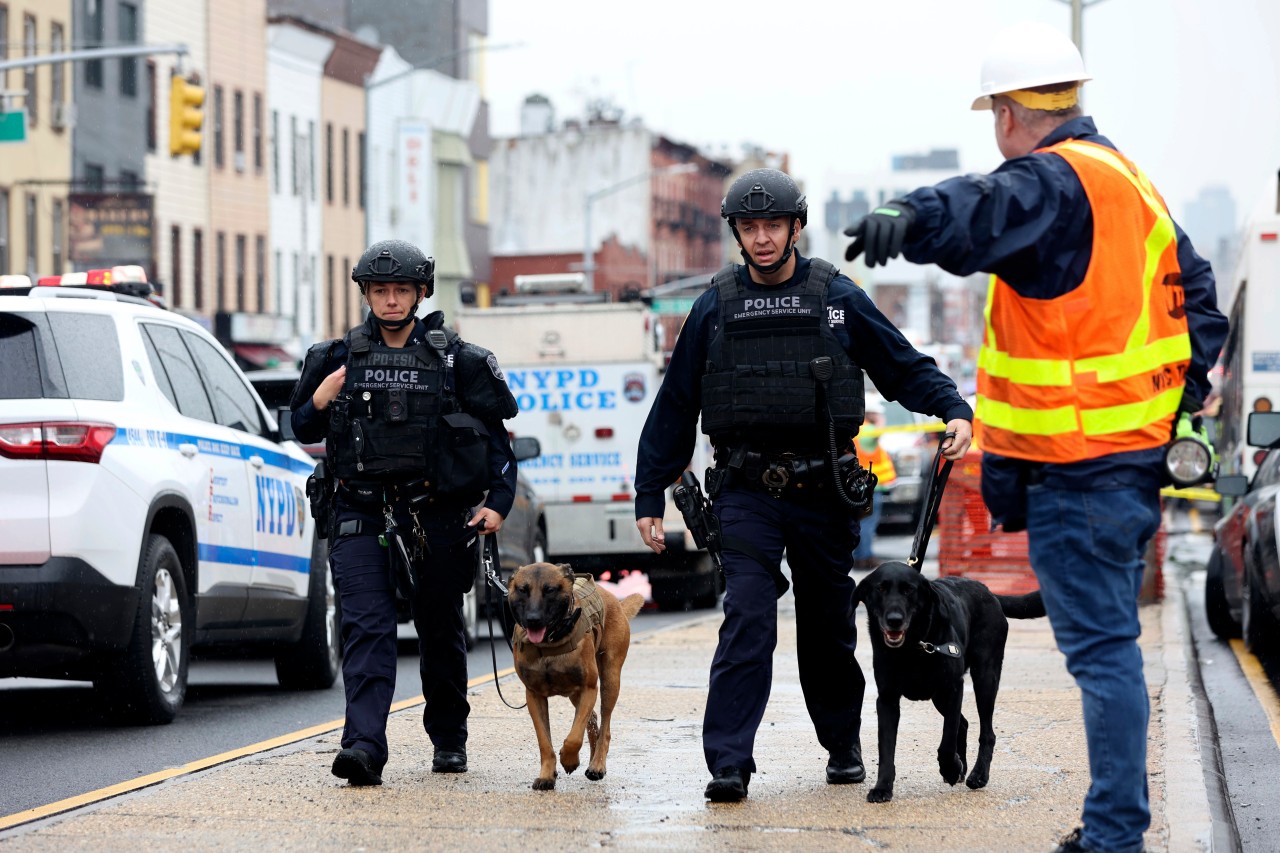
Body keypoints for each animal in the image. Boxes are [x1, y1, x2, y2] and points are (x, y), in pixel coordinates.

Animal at [506, 560, 645, 788]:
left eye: (550, 590)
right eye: (522, 590)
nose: (533, 620)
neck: (550, 642)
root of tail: (614, 599)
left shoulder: (589, 688)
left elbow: (574, 737)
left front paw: (569, 760)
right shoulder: (534, 696)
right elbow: (545, 741)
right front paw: (547, 775)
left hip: (609, 681)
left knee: (604, 726)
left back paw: (597, 765)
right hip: (576, 694)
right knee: (594, 719)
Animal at [855, 560, 1044, 799]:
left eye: (909, 590)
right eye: (880, 588)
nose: (894, 621)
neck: (912, 648)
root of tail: (988, 591)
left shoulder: (954, 688)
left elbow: (947, 739)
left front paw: (951, 768)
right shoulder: (887, 699)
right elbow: (886, 748)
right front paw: (882, 787)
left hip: (984, 677)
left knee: (986, 732)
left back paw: (977, 774)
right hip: (940, 698)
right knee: (963, 724)